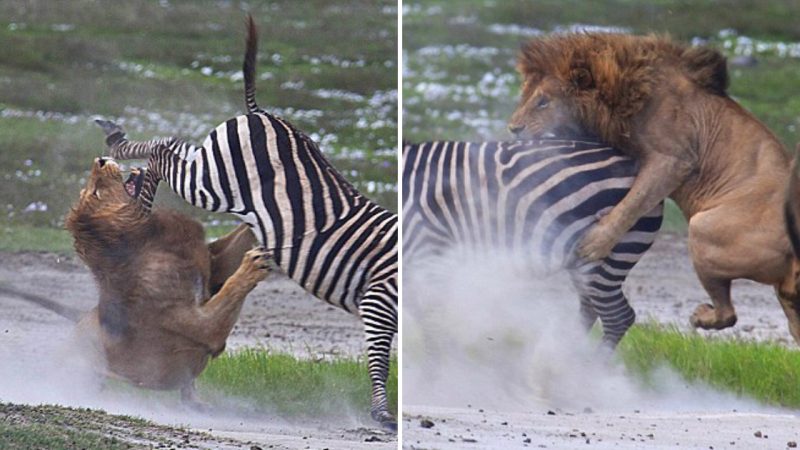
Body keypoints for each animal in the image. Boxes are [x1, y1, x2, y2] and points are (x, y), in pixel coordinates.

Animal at [62, 156, 268, 402]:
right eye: (95, 193)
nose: (100, 160)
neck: (148, 239)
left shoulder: (214, 265)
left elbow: (245, 230)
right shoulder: (201, 327)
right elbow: (231, 289)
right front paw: (254, 263)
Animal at [94, 14, 396, 428]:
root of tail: (261, 113)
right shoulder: (380, 298)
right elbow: (380, 357)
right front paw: (382, 413)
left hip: (211, 162)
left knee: (171, 146)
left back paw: (125, 162)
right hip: (211, 181)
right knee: (162, 153)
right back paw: (135, 191)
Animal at [406, 139, 664, 346]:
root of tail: (636, 164)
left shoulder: (428, 252)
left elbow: (431, 325)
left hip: (607, 252)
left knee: (617, 317)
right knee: (591, 309)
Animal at [510, 33, 800, 344]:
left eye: (543, 102)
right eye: (525, 95)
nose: (513, 128)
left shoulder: (673, 160)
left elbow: (633, 203)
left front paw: (593, 244)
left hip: (702, 228)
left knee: (727, 313)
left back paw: (700, 317)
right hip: (788, 300)